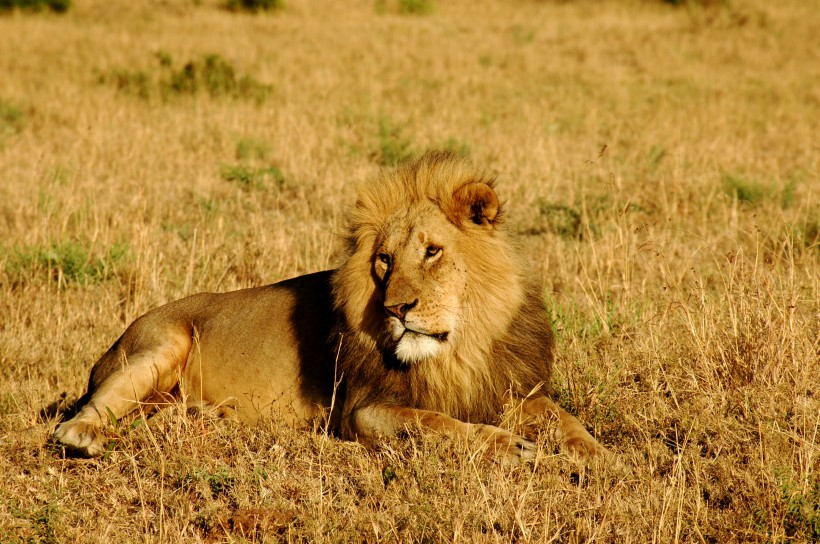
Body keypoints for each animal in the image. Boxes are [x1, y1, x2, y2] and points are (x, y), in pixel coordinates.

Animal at [51, 152, 604, 464]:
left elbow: (563, 418)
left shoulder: (507, 387)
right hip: (159, 345)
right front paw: (512, 448)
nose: (398, 309)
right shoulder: (362, 413)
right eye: (384, 260)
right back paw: (85, 438)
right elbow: (436, 423)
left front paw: (597, 456)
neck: (458, 350)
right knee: (76, 418)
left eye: (432, 251)